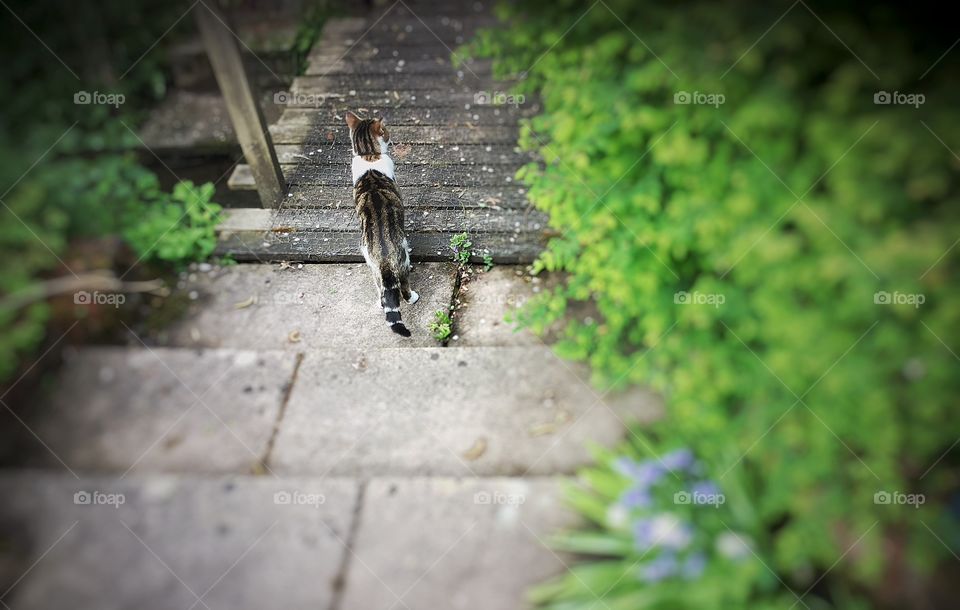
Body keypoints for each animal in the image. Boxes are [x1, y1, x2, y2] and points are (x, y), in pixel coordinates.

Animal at [346, 110, 418, 338]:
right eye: (385, 131)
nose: (390, 136)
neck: (368, 155)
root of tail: (384, 258)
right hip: (402, 261)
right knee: (403, 288)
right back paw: (413, 297)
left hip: (371, 265)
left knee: (381, 291)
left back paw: (380, 302)